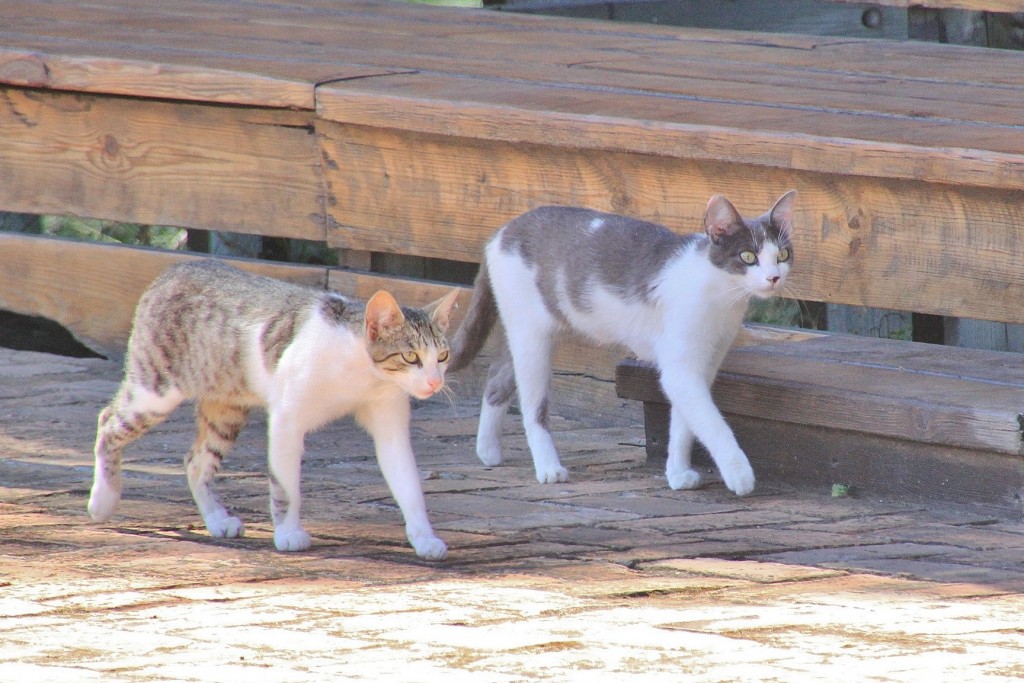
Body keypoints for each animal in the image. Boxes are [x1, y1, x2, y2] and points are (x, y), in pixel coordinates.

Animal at [88, 262, 456, 561]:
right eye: (411, 357)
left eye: (442, 356)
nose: (435, 382)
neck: (363, 375)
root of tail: (173, 269)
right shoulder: (287, 419)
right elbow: (285, 486)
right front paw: (289, 534)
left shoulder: (388, 419)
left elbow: (409, 485)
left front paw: (424, 538)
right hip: (156, 390)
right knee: (107, 423)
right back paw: (103, 500)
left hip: (226, 409)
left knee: (196, 462)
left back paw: (217, 520)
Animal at [452, 192, 794, 497]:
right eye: (747, 256)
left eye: (782, 255)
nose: (774, 277)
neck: (720, 294)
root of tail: (502, 231)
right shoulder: (680, 369)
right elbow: (712, 423)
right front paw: (739, 474)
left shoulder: (705, 363)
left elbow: (685, 422)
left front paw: (677, 473)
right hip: (533, 340)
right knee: (532, 409)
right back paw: (548, 468)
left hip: (523, 334)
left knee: (496, 381)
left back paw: (488, 451)